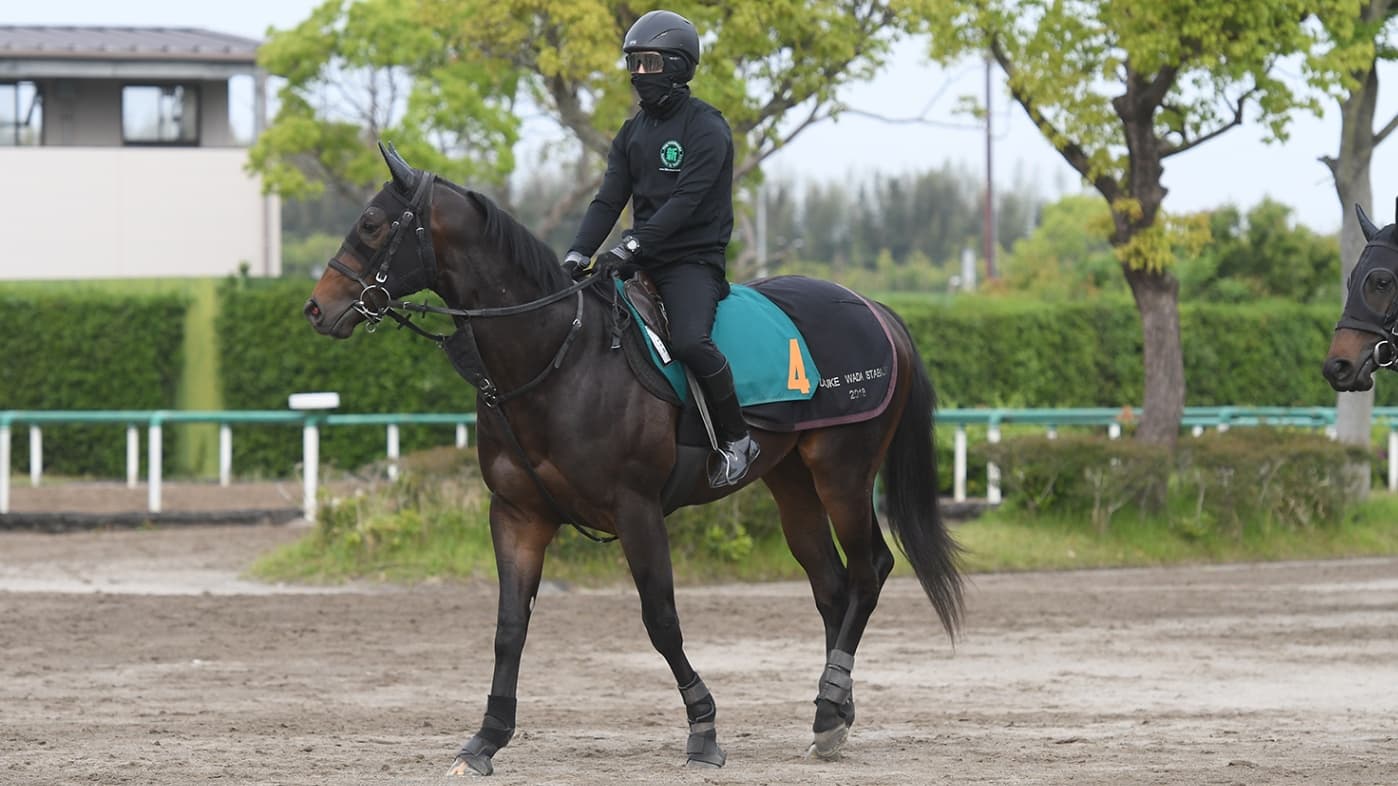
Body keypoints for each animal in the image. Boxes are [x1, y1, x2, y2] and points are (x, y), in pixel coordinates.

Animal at [303, 143, 963, 777]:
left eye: (370, 224)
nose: (315, 309)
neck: (559, 355)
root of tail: (873, 308)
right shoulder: (517, 514)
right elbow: (510, 627)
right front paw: (486, 739)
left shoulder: (636, 511)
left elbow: (661, 619)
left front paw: (703, 730)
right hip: (793, 482)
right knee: (832, 586)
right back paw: (833, 712)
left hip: (842, 475)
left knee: (869, 572)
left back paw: (829, 707)